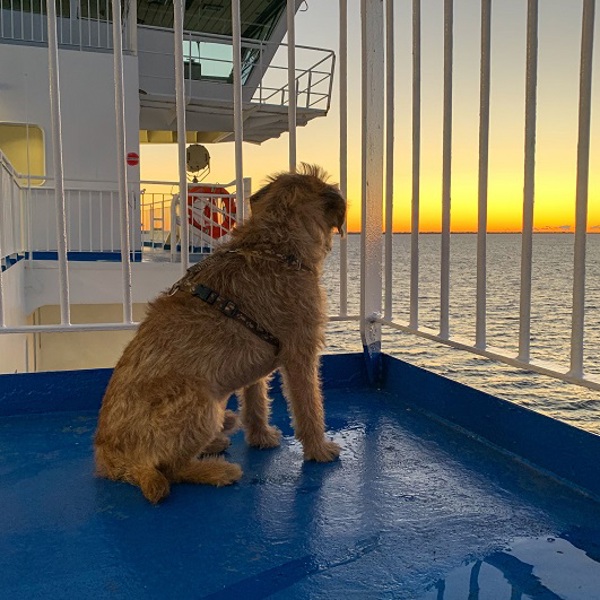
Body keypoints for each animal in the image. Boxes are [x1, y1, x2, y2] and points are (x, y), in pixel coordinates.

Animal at [94, 163, 346, 502]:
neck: (273, 246)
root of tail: (111, 459)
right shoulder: (301, 353)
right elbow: (309, 406)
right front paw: (319, 450)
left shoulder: (257, 363)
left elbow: (255, 402)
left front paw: (261, 436)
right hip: (200, 401)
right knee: (169, 469)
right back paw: (217, 470)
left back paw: (213, 444)